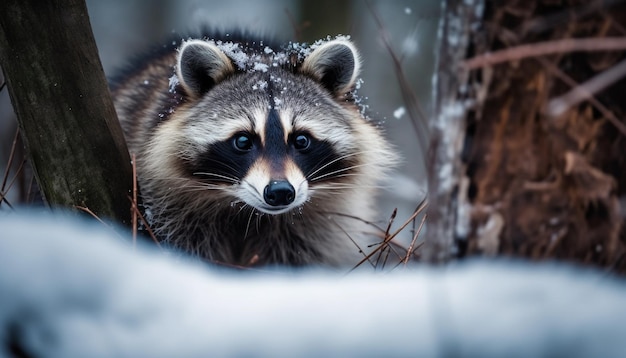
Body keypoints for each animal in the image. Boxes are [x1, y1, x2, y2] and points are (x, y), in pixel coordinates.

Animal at [109, 30, 398, 266]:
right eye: (243, 141)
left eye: (301, 140)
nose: (280, 192)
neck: (246, 211)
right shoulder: (166, 206)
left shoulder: (318, 227)